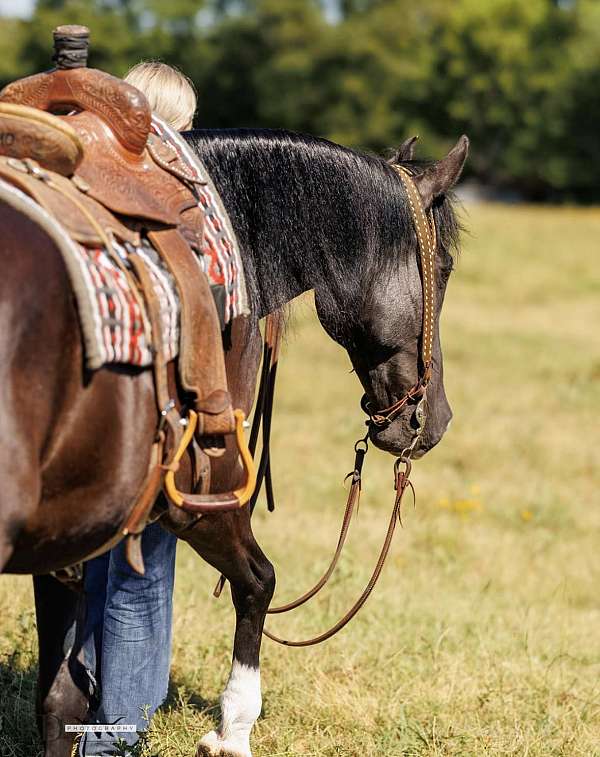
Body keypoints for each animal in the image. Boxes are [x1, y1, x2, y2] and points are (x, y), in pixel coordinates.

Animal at [1, 127, 468, 752]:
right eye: (444, 267)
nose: (435, 419)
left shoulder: (71, 529)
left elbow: (59, 698)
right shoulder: (203, 496)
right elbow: (259, 581)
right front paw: (234, 727)